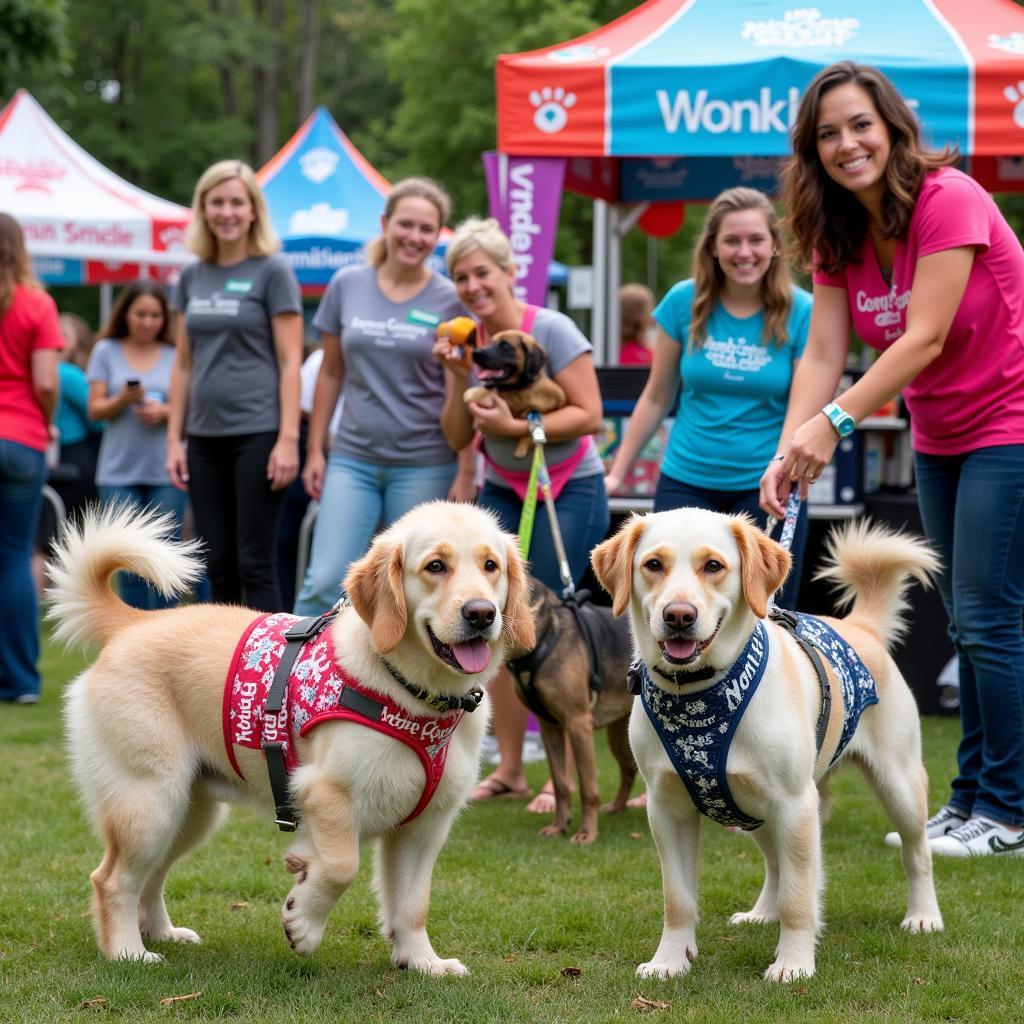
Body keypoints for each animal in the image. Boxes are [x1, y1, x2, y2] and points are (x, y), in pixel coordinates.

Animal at [48, 503, 532, 974]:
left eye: (491, 565)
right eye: (435, 566)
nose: (481, 614)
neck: (414, 696)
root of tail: (132, 622)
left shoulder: (424, 827)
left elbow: (413, 904)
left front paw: (422, 961)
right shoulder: (324, 793)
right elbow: (341, 866)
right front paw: (303, 922)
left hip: (189, 812)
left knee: (150, 876)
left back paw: (161, 932)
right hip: (150, 801)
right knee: (112, 879)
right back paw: (127, 951)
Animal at [507, 581, 634, 843]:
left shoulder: (578, 724)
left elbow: (588, 787)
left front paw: (587, 833)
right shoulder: (549, 727)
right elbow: (560, 783)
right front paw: (558, 826)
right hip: (619, 732)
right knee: (629, 769)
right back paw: (617, 807)